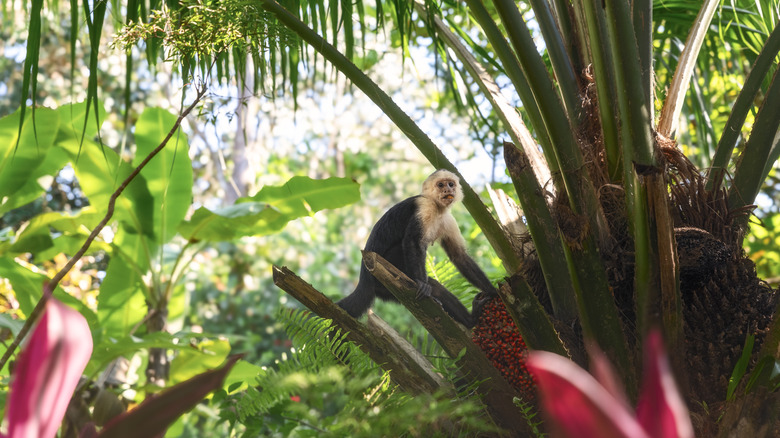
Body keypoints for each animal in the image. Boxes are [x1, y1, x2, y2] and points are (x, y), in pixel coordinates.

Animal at [337, 169, 498, 328]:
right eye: (441, 185)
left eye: (451, 184)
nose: (448, 189)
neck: (437, 208)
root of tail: (364, 280)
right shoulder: (425, 206)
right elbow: (412, 241)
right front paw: (422, 284)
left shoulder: (448, 220)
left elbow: (458, 256)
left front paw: (492, 290)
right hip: (384, 273)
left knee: (436, 287)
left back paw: (470, 320)